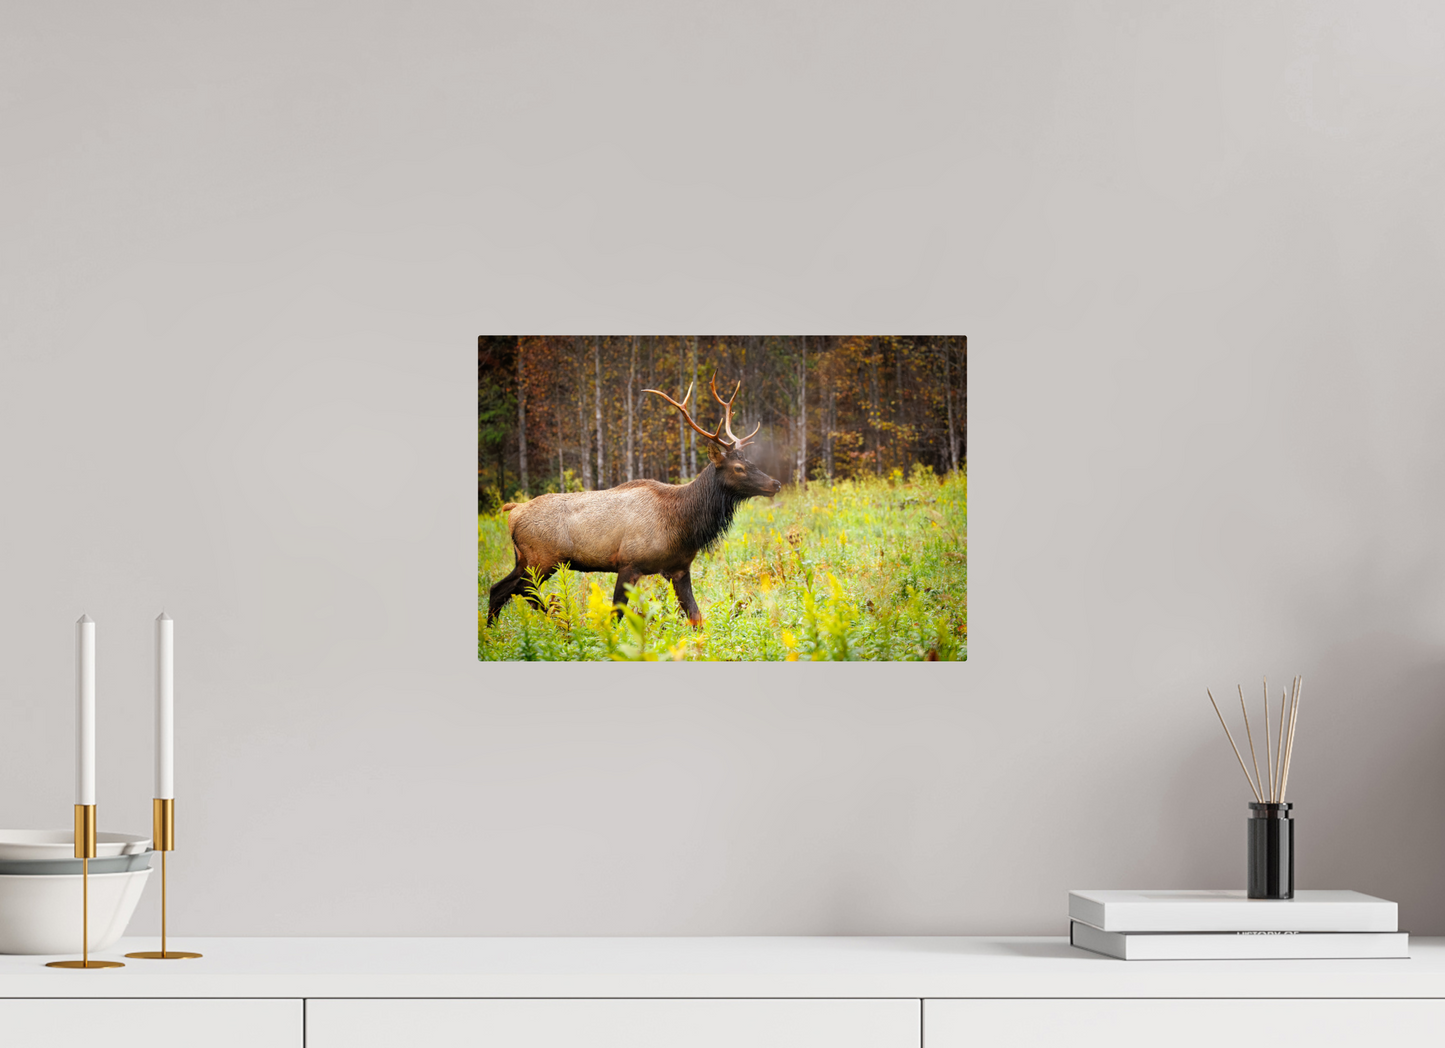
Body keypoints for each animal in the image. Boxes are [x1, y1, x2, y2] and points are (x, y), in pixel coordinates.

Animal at [487, 374, 782, 628]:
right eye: (738, 468)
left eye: (751, 462)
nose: (775, 484)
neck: (684, 524)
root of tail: (513, 512)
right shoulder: (628, 563)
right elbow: (617, 614)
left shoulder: (679, 568)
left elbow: (696, 616)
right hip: (542, 559)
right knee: (520, 591)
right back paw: (556, 626)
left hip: (525, 559)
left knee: (500, 589)